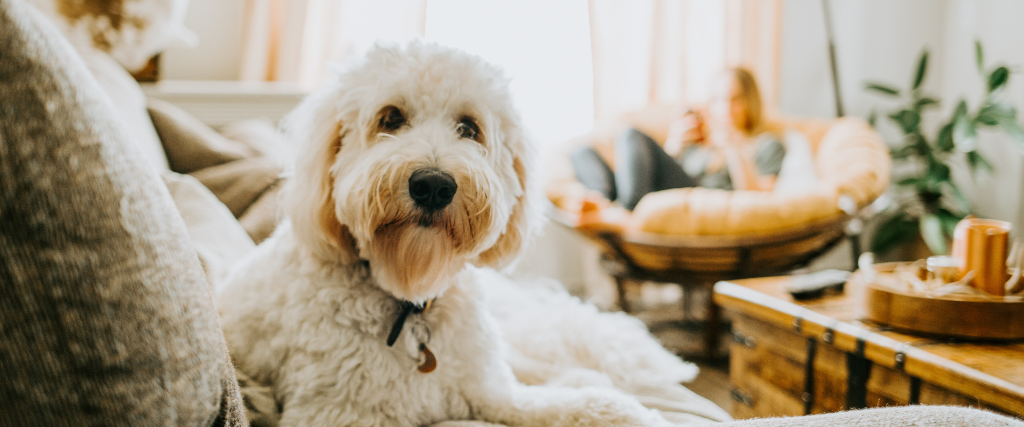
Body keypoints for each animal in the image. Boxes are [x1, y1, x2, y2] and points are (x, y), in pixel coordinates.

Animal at [220, 42, 675, 425]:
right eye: (390, 118)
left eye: (469, 128)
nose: (433, 185)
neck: (412, 299)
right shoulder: (339, 415)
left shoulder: (492, 391)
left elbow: (587, 406)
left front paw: (628, 411)